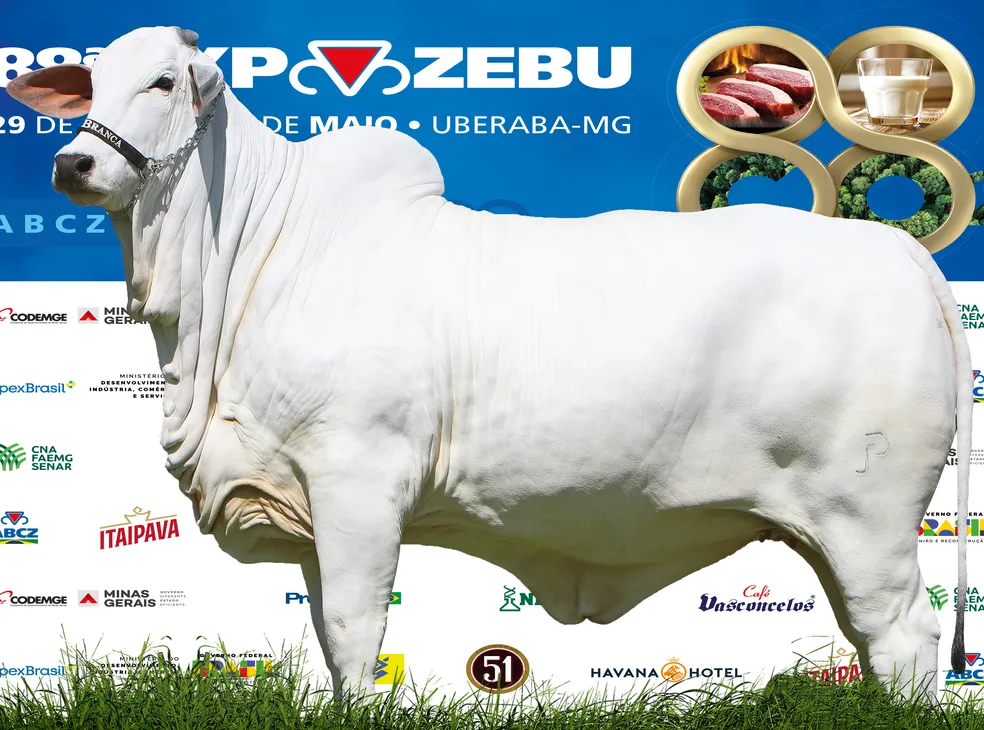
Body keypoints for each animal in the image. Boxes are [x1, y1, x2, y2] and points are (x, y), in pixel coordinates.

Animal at [6, 25, 972, 701]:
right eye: (90, 81)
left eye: (164, 81)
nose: (72, 161)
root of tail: (900, 251)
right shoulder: (310, 501)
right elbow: (328, 637)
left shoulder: (360, 477)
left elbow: (355, 634)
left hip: (869, 516)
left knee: (902, 640)